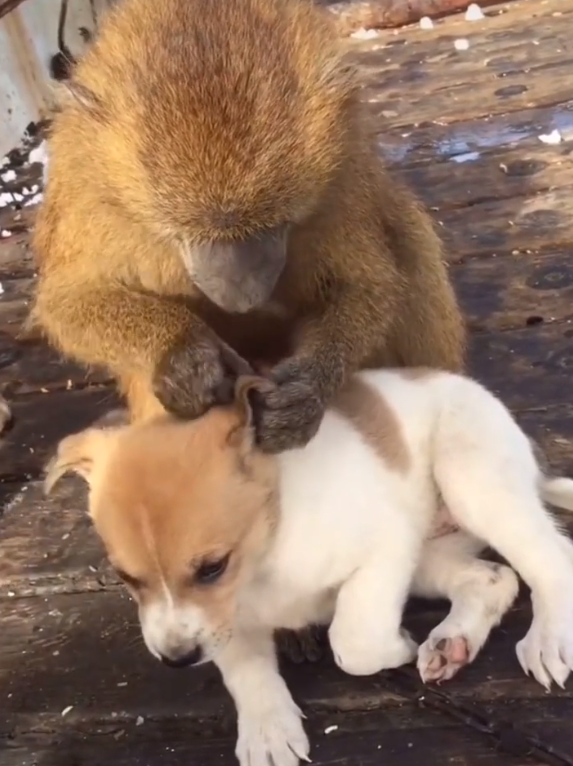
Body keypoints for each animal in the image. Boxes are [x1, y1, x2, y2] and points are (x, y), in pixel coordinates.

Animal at [30, 0, 464, 664]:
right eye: (192, 233)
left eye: (270, 224)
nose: (241, 291)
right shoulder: (84, 176)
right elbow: (67, 303)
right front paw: (186, 356)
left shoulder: (343, 165)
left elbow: (369, 284)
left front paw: (306, 393)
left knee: (409, 237)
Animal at [45, 370, 573, 766]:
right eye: (127, 579)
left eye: (213, 567)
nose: (176, 658)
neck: (266, 555)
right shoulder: (224, 621)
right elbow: (244, 670)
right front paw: (266, 729)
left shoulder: (385, 547)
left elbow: (353, 642)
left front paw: (396, 648)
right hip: (432, 556)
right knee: (493, 579)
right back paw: (453, 642)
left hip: (470, 483)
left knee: (553, 558)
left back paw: (546, 639)